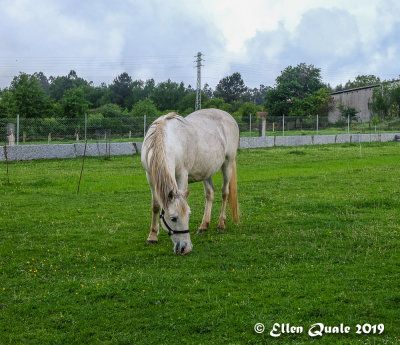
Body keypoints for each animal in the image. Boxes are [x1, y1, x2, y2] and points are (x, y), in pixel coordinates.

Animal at [141, 109, 239, 254]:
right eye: (173, 218)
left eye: (188, 215)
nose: (185, 248)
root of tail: (228, 116)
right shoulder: (150, 177)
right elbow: (156, 206)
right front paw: (152, 236)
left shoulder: (182, 174)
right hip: (206, 170)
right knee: (210, 193)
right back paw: (204, 225)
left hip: (228, 163)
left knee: (225, 193)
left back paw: (221, 224)